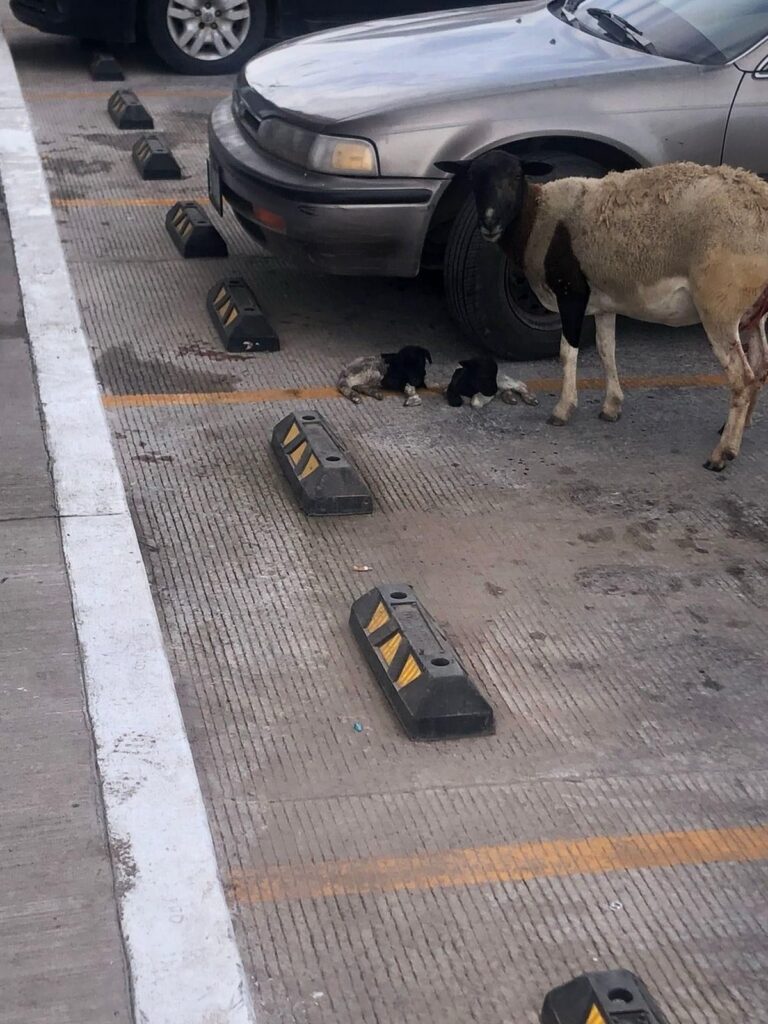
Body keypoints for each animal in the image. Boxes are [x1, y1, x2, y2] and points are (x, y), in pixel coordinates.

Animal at [438, 151, 768, 471]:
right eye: (472, 178)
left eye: (516, 176)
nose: (489, 223)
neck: (538, 217)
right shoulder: (604, 302)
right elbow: (605, 350)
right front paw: (611, 406)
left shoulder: (572, 292)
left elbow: (567, 352)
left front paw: (563, 409)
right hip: (755, 311)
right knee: (760, 367)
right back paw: (736, 429)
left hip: (720, 305)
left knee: (743, 378)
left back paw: (722, 454)